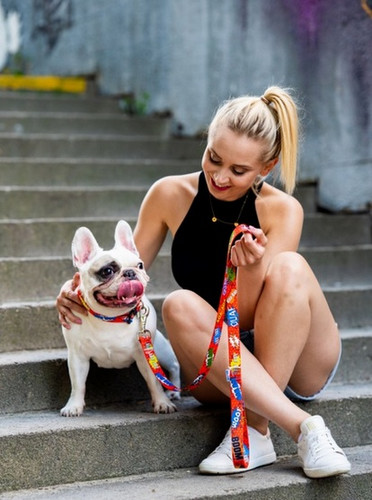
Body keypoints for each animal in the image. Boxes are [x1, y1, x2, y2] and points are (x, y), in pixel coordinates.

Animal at [60, 221, 181, 416]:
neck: (111, 318)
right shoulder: (77, 356)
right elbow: (78, 384)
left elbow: (154, 382)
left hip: (159, 348)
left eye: (140, 265)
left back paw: (173, 393)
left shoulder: (145, 356)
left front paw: (162, 403)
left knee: (174, 367)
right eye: (107, 271)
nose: (130, 272)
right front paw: (73, 406)